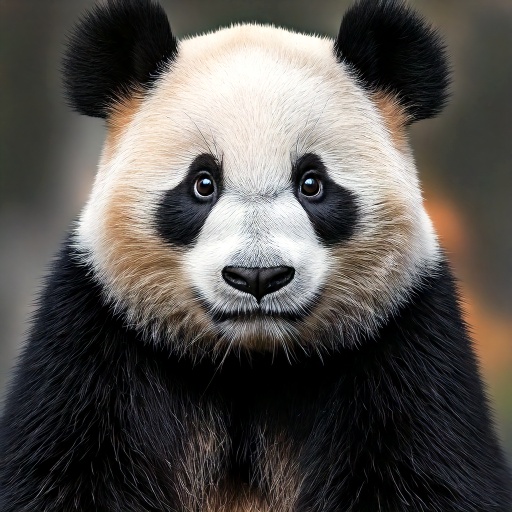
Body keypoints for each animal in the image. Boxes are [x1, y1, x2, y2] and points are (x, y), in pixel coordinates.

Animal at [1, 0, 512, 510]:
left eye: (312, 183)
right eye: (202, 184)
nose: (258, 277)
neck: (250, 364)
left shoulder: (406, 348)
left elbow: (427, 471)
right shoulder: (94, 347)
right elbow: (60, 466)